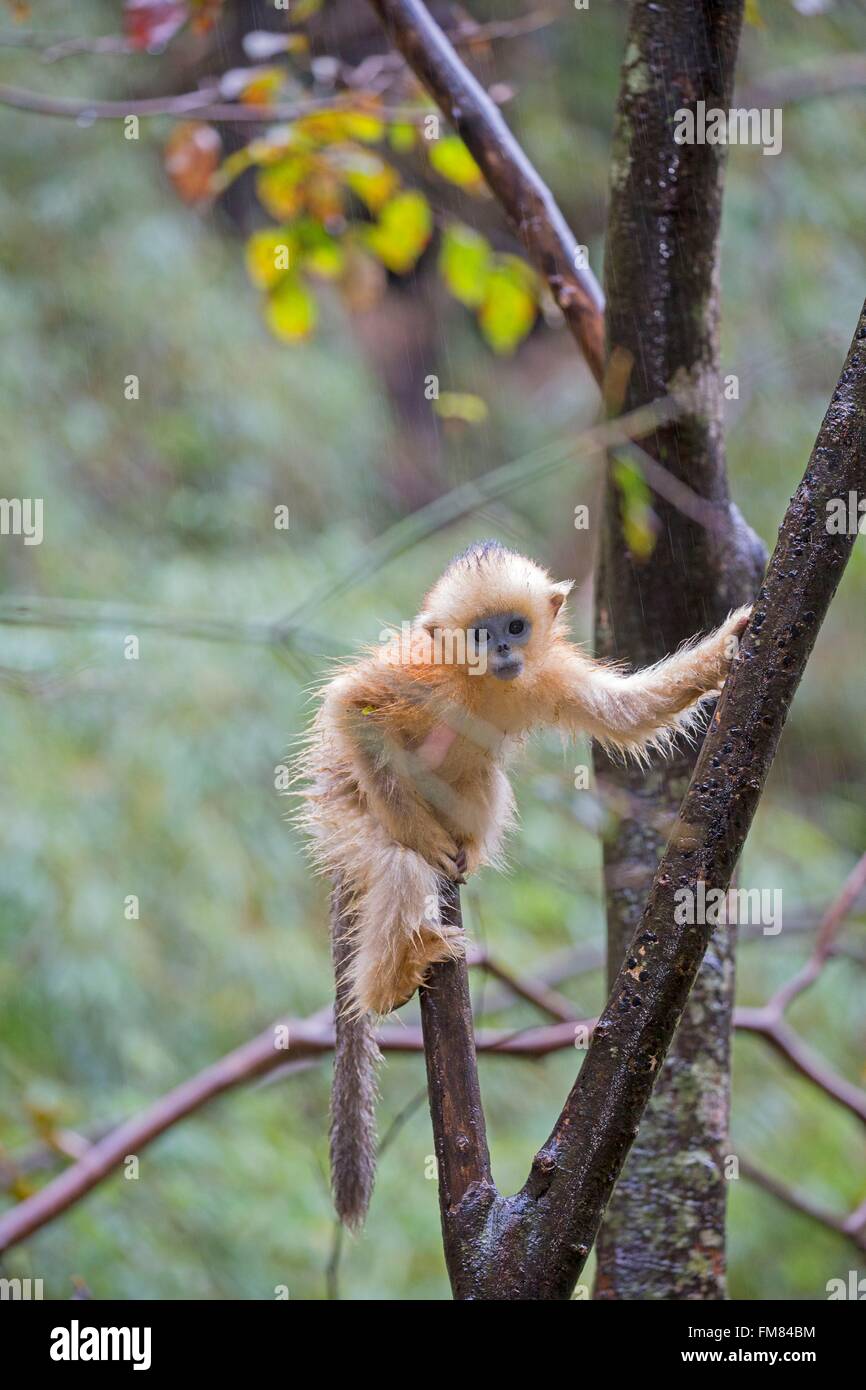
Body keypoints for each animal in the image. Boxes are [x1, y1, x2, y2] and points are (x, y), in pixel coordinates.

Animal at [300, 542, 750, 1228]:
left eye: (515, 627)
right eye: (480, 635)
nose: (505, 652)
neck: (484, 686)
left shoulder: (549, 673)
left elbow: (627, 713)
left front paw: (730, 645)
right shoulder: (421, 673)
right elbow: (353, 705)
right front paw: (422, 837)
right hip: (348, 817)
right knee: (396, 860)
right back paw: (390, 978)